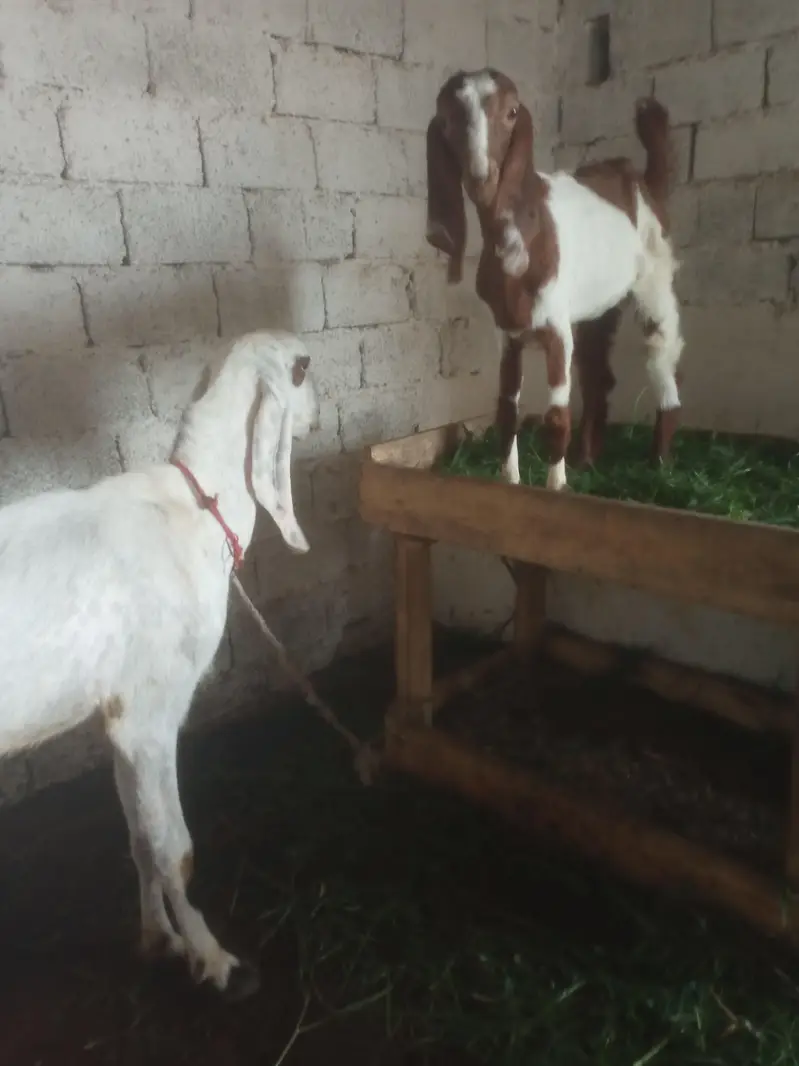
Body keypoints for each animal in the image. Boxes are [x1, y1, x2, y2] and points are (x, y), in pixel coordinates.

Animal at [0, 330, 319, 1000]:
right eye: (303, 367)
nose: (315, 417)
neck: (193, 510)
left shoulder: (119, 717)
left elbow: (142, 839)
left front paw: (160, 939)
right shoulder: (150, 712)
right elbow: (178, 850)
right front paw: (217, 960)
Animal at [426, 68, 683, 490]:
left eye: (512, 112)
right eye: (446, 121)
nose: (481, 178)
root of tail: (644, 183)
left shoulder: (557, 328)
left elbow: (556, 417)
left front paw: (556, 488)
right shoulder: (508, 336)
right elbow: (506, 413)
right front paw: (510, 481)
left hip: (654, 279)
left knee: (662, 353)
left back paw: (660, 466)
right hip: (600, 305)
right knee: (598, 377)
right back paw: (585, 459)